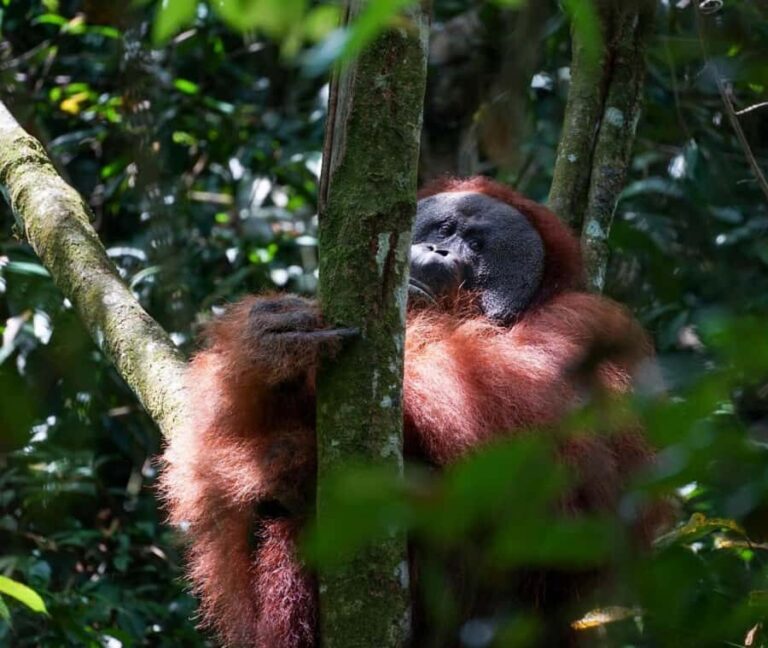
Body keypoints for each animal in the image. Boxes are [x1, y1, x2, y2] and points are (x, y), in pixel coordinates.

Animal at [160, 176, 667, 647]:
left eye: (476, 245)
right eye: (444, 228)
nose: (436, 249)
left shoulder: (591, 326)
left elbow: (573, 471)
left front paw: (287, 442)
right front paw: (265, 347)